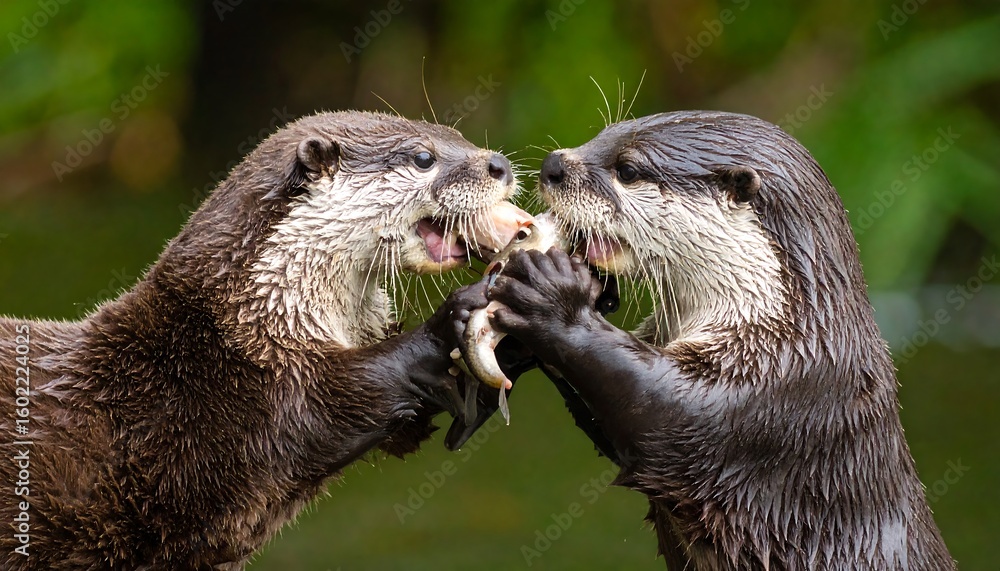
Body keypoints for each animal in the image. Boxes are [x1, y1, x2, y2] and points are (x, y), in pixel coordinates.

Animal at [0, 110, 526, 569]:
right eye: (422, 157)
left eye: (456, 134)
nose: (499, 164)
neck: (243, 321)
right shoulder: (252, 389)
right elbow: (338, 402)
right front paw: (459, 312)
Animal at [487, 111, 955, 569]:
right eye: (602, 134)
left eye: (628, 170)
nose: (553, 166)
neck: (797, 329)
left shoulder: (773, 391)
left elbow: (658, 413)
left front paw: (553, 295)